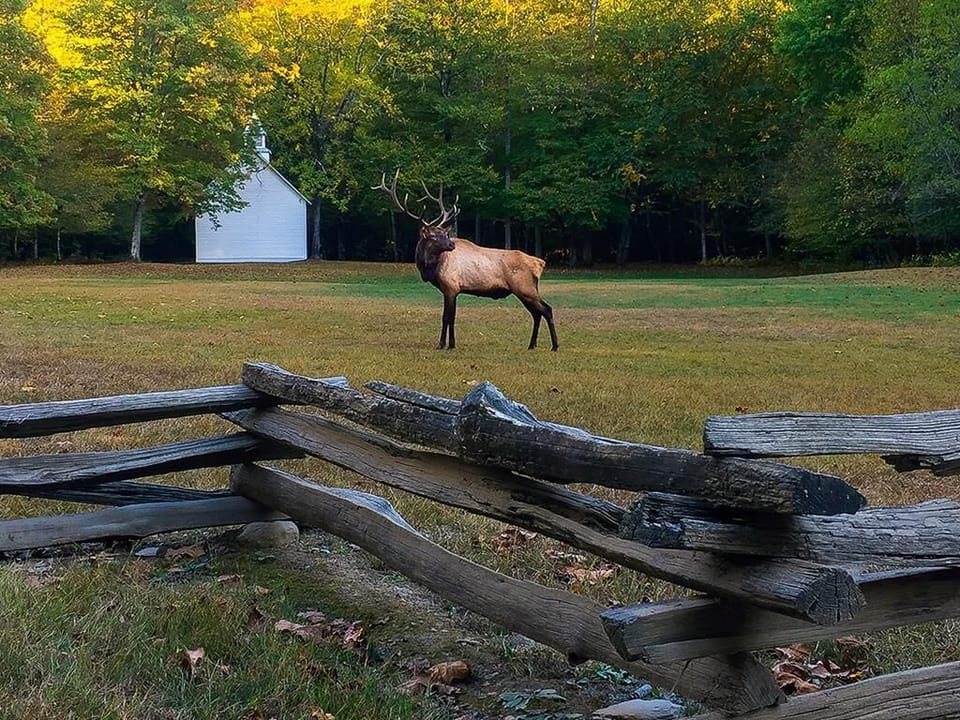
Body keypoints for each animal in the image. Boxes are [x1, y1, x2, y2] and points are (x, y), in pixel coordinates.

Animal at [374, 170, 558, 351]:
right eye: (433, 235)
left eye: (445, 234)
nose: (451, 244)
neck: (431, 269)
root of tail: (539, 263)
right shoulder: (450, 290)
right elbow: (449, 317)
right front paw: (449, 343)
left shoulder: (451, 287)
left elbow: (447, 317)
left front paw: (445, 345)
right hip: (525, 290)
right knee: (536, 313)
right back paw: (532, 345)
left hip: (524, 288)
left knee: (547, 309)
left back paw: (555, 345)